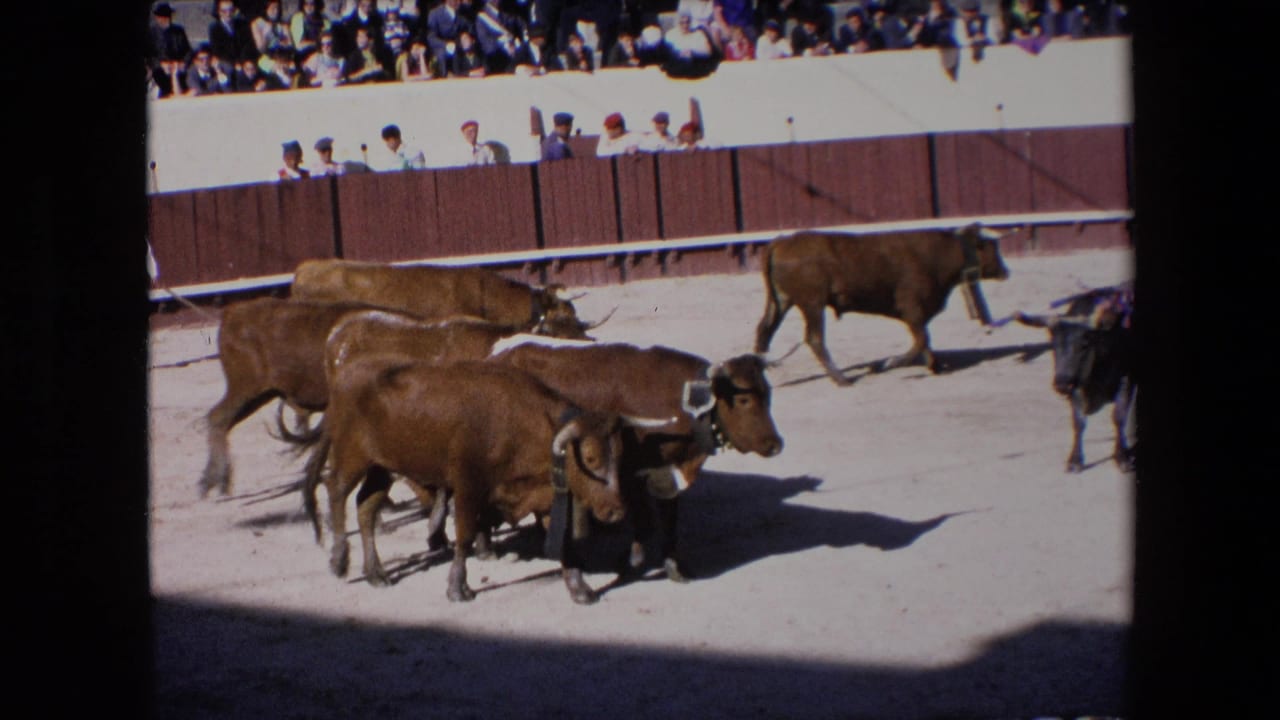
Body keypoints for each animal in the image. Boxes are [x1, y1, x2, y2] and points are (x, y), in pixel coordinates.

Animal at [321, 357, 675, 604]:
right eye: (590, 459)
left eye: (621, 455)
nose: (616, 511)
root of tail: (346, 373)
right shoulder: (467, 487)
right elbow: (464, 536)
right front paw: (458, 587)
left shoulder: (544, 495)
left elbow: (562, 541)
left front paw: (579, 587)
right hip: (352, 457)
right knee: (337, 491)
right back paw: (339, 559)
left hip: (381, 467)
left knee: (366, 508)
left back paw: (375, 572)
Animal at [490, 342, 785, 582]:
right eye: (743, 399)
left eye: (768, 394)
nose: (776, 444)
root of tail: (503, 354)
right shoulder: (632, 473)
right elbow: (646, 523)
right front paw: (630, 559)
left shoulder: (664, 472)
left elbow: (668, 520)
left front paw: (674, 566)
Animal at [754, 224, 1010, 386]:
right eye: (991, 248)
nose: (1005, 271)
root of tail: (782, 242)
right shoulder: (912, 308)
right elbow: (922, 339)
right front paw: (891, 363)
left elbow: (925, 340)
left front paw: (934, 366)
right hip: (812, 303)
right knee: (814, 338)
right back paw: (842, 379)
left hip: (781, 301)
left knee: (764, 331)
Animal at [1014, 284, 1136, 473]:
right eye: (1053, 345)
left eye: (1084, 344)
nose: (1061, 384)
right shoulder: (1076, 386)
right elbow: (1078, 422)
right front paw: (1075, 460)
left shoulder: (1126, 379)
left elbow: (1119, 417)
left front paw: (1122, 457)